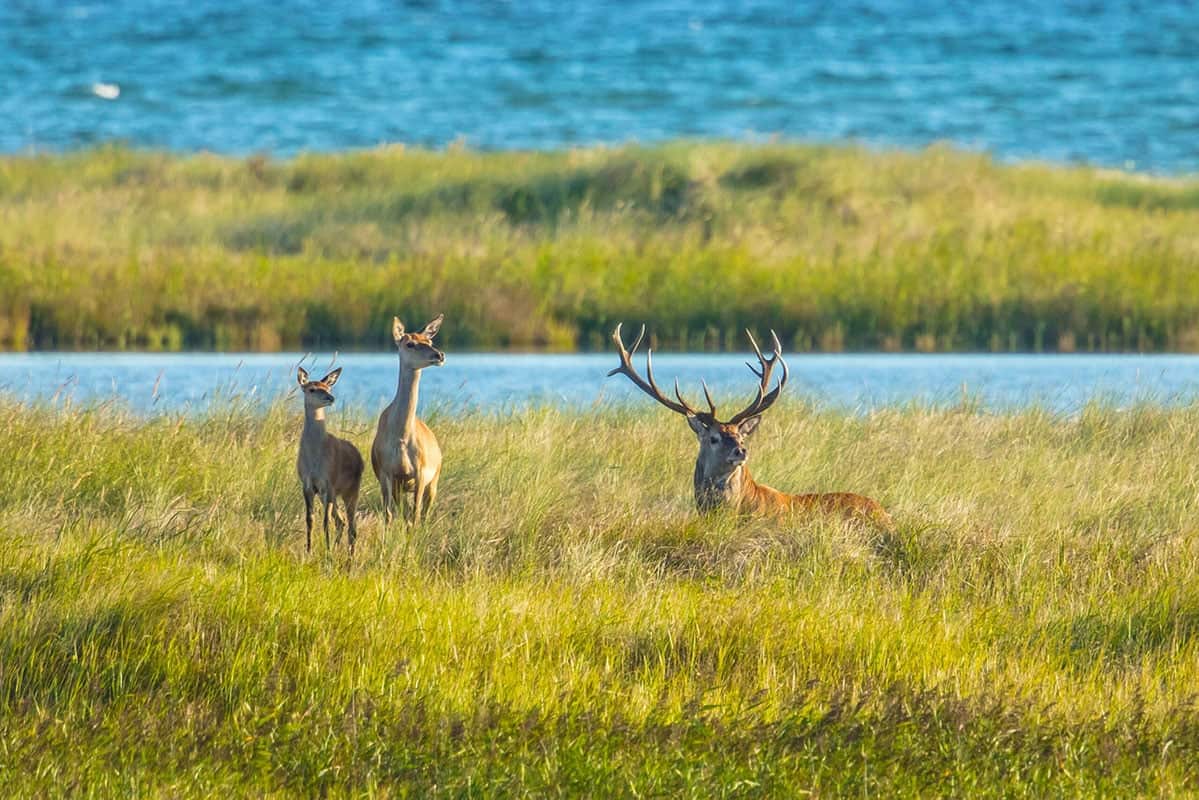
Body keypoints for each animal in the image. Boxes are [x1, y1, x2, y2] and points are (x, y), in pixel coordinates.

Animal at [293, 367, 362, 554]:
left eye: (328, 387)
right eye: (311, 389)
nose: (330, 398)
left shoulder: (329, 483)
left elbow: (325, 522)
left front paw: (327, 552)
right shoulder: (308, 485)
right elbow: (310, 519)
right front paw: (309, 551)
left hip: (351, 490)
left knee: (352, 526)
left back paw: (349, 556)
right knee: (341, 521)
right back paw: (337, 549)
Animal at [369, 311, 446, 525]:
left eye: (429, 340)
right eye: (410, 343)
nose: (439, 355)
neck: (401, 437)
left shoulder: (420, 473)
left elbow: (416, 514)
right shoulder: (387, 473)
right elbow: (388, 514)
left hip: (434, 479)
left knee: (423, 512)